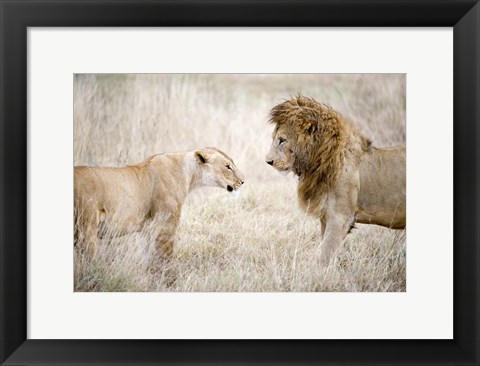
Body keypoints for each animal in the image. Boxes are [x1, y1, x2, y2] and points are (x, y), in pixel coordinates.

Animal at [77, 147, 246, 258]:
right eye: (228, 166)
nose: (243, 181)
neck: (189, 175)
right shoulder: (166, 225)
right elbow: (165, 259)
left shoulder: (148, 229)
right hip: (87, 231)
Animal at [266, 96, 404, 268]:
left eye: (282, 140)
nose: (268, 161)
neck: (320, 161)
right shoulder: (326, 217)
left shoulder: (340, 218)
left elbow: (325, 255)